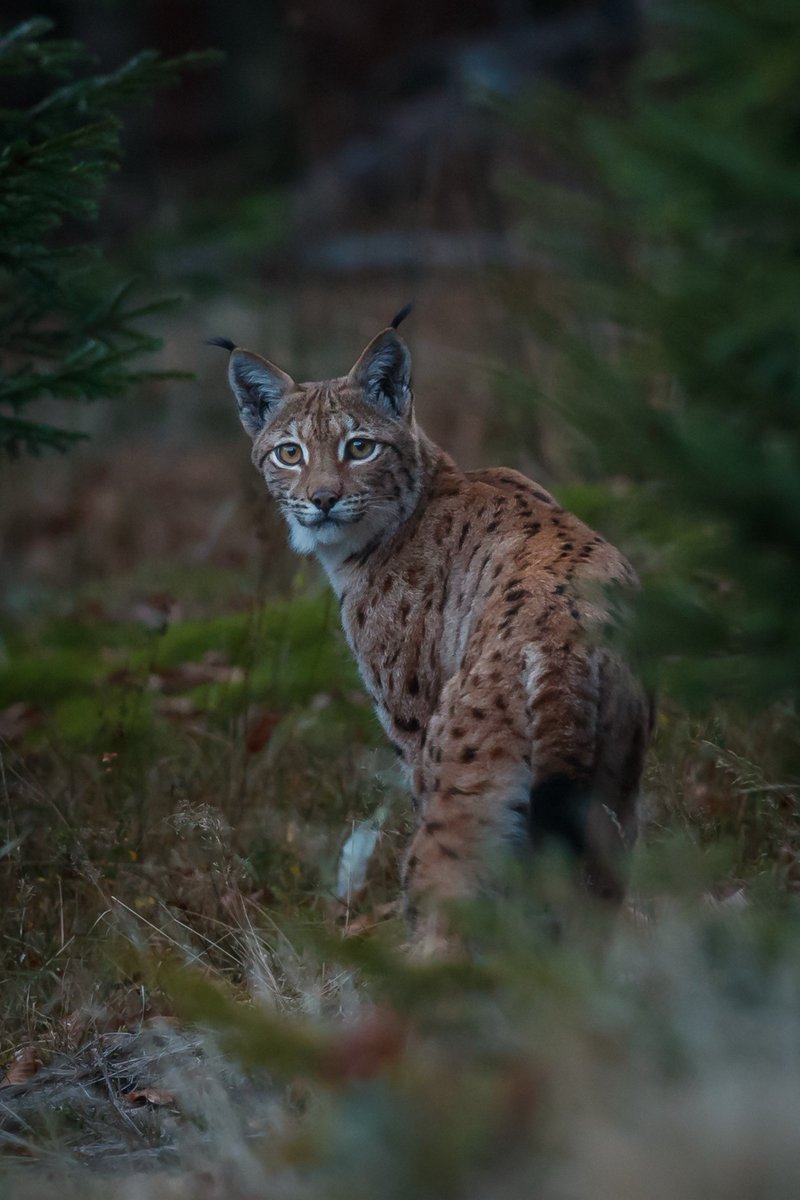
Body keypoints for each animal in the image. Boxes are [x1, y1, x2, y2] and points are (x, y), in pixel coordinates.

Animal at [210, 309, 652, 952]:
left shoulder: (410, 731)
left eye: (359, 447)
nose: (322, 500)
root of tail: (562, 641)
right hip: (616, 791)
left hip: (462, 797)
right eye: (289, 453)